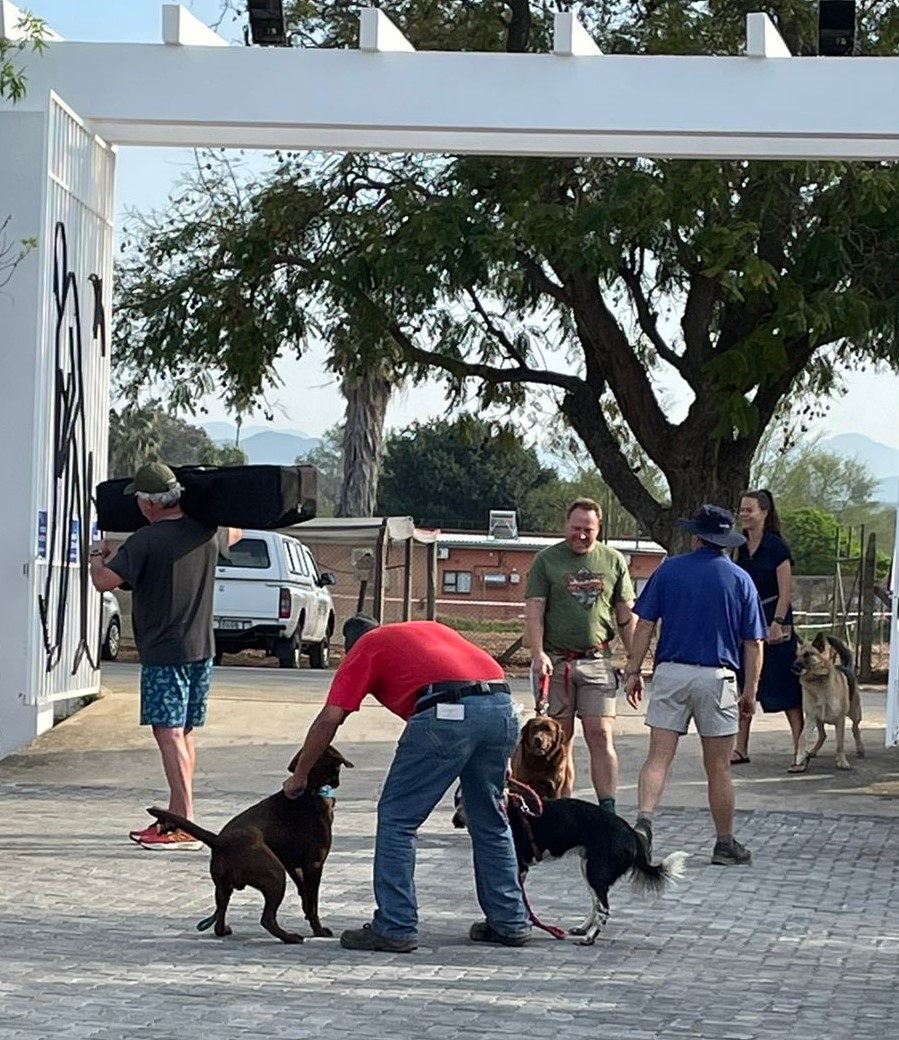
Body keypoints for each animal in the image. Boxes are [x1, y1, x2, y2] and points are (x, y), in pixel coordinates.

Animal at [147, 744, 351, 948]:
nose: (338, 783)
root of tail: (219, 840)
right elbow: (313, 903)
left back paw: (225, 930)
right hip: (275, 876)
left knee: (219, 915)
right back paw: (290, 937)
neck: (309, 790)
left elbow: (306, 897)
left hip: (223, 887)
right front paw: (319, 931)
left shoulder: (293, 865)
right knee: (266, 919)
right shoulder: (314, 864)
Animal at [794, 632, 865, 773]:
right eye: (796, 655)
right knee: (823, 735)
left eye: (807, 654)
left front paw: (842, 761)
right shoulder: (810, 717)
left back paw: (860, 749)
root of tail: (845, 666)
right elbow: (802, 737)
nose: (793, 667)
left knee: (855, 728)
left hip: (855, 714)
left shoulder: (840, 720)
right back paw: (813, 751)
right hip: (818, 720)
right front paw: (800, 756)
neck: (817, 682)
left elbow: (840, 743)